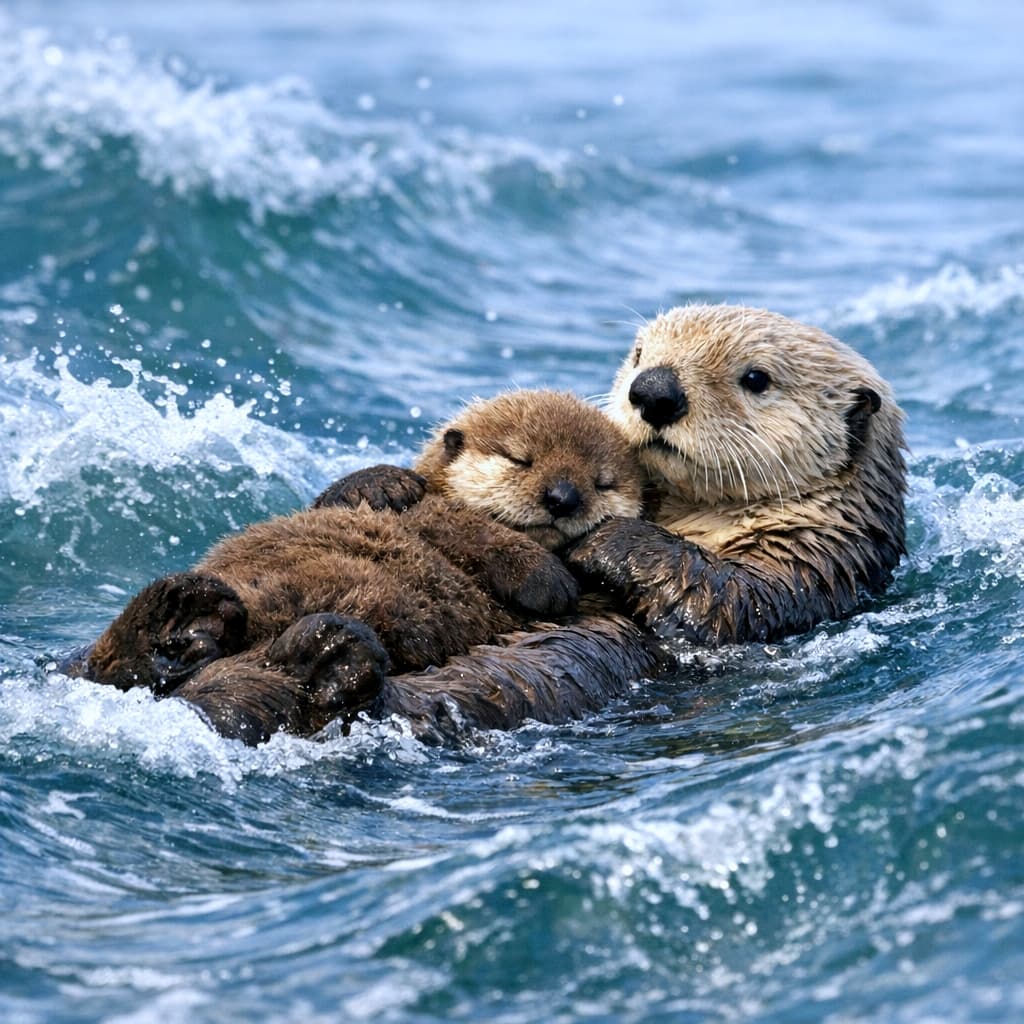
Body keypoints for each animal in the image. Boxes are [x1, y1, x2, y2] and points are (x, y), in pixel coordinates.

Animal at [68, 391, 659, 743]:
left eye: (603, 482)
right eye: (520, 459)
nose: (564, 497)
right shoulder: (445, 514)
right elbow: (472, 530)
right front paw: (550, 580)